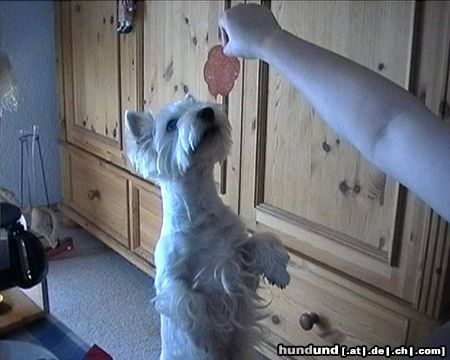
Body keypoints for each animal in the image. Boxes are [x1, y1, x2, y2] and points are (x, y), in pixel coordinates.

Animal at [125, 95, 290, 360]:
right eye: (171, 125)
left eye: (196, 104)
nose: (206, 112)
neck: (201, 214)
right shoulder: (169, 278)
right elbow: (188, 300)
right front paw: (206, 336)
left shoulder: (239, 254)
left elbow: (265, 240)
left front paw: (280, 273)